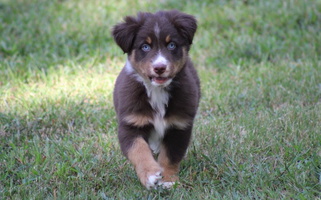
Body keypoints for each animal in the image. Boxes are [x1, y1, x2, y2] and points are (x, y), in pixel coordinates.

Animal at [111, 10, 199, 189]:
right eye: (145, 46)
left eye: (171, 45)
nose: (160, 68)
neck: (157, 91)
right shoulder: (130, 124)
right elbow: (138, 150)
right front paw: (150, 174)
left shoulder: (179, 125)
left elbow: (171, 156)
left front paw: (168, 180)